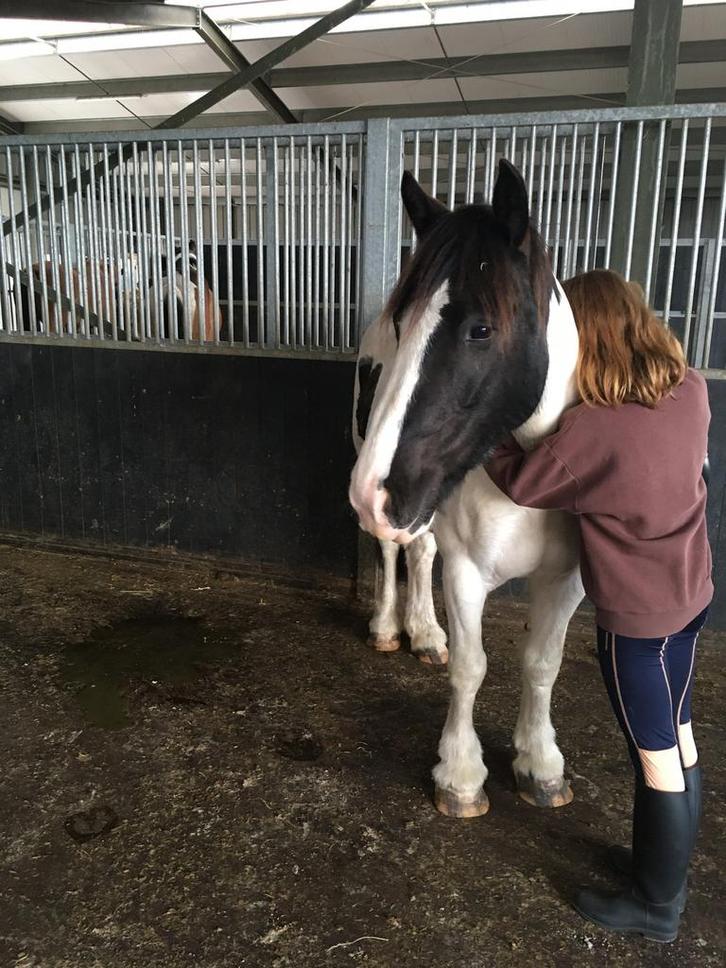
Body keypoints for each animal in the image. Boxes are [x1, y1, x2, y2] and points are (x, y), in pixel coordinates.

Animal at [349, 160, 584, 818]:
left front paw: (540, 763)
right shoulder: (467, 570)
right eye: (403, 322)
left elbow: (543, 663)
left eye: (481, 328)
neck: (533, 482)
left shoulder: (568, 578)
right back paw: (390, 627)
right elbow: (472, 667)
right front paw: (460, 773)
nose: (371, 492)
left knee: (420, 547)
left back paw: (425, 634)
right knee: (394, 551)